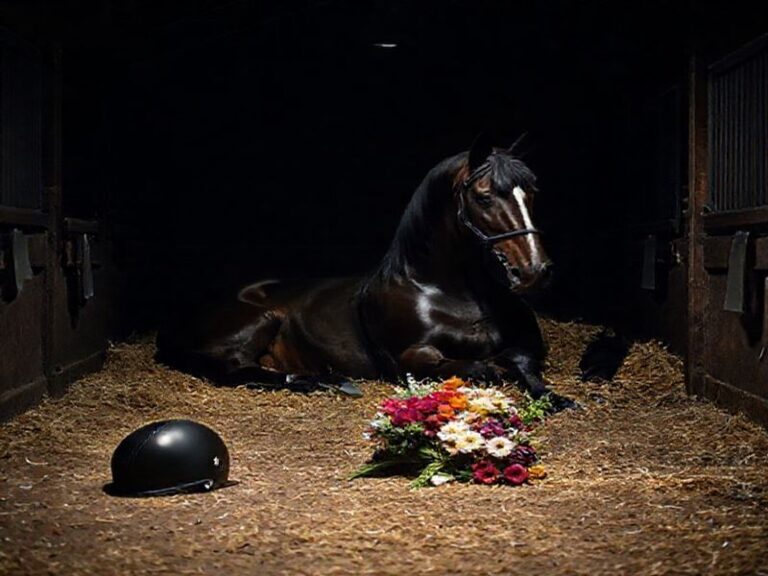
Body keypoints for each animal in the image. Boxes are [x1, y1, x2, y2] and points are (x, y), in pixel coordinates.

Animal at [156, 137, 573, 409]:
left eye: (531, 193)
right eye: (484, 197)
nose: (535, 270)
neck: (445, 293)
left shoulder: (527, 347)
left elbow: (520, 362)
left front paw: (557, 399)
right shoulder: (410, 360)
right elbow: (482, 366)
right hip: (261, 319)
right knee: (234, 370)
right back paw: (329, 382)